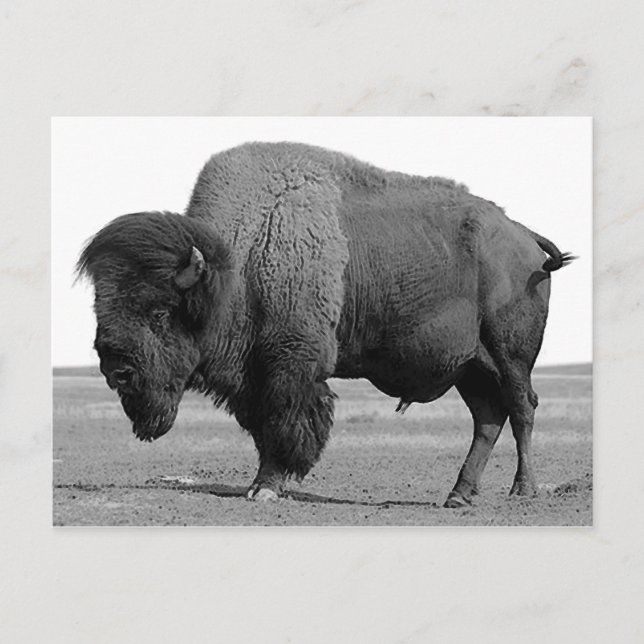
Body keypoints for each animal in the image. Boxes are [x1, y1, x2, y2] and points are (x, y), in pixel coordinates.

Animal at [78, 142, 574, 507]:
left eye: (160, 312)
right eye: (101, 307)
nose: (117, 370)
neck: (242, 260)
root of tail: (522, 234)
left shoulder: (291, 365)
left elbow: (285, 422)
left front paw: (266, 488)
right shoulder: (255, 376)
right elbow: (263, 427)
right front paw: (260, 485)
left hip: (511, 357)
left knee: (522, 408)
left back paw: (522, 490)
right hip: (470, 367)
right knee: (488, 418)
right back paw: (458, 496)